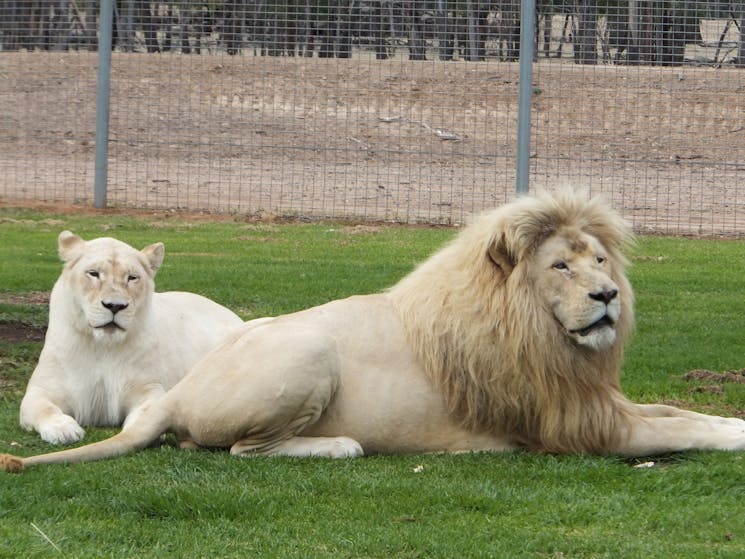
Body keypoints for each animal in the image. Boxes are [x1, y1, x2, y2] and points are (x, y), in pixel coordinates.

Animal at [17, 232, 243, 446]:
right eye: (94, 273)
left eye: (132, 277)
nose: (115, 306)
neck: (102, 346)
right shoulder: (43, 388)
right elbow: (42, 407)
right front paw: (63, 430)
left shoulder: (146, 387)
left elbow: (149, 411)